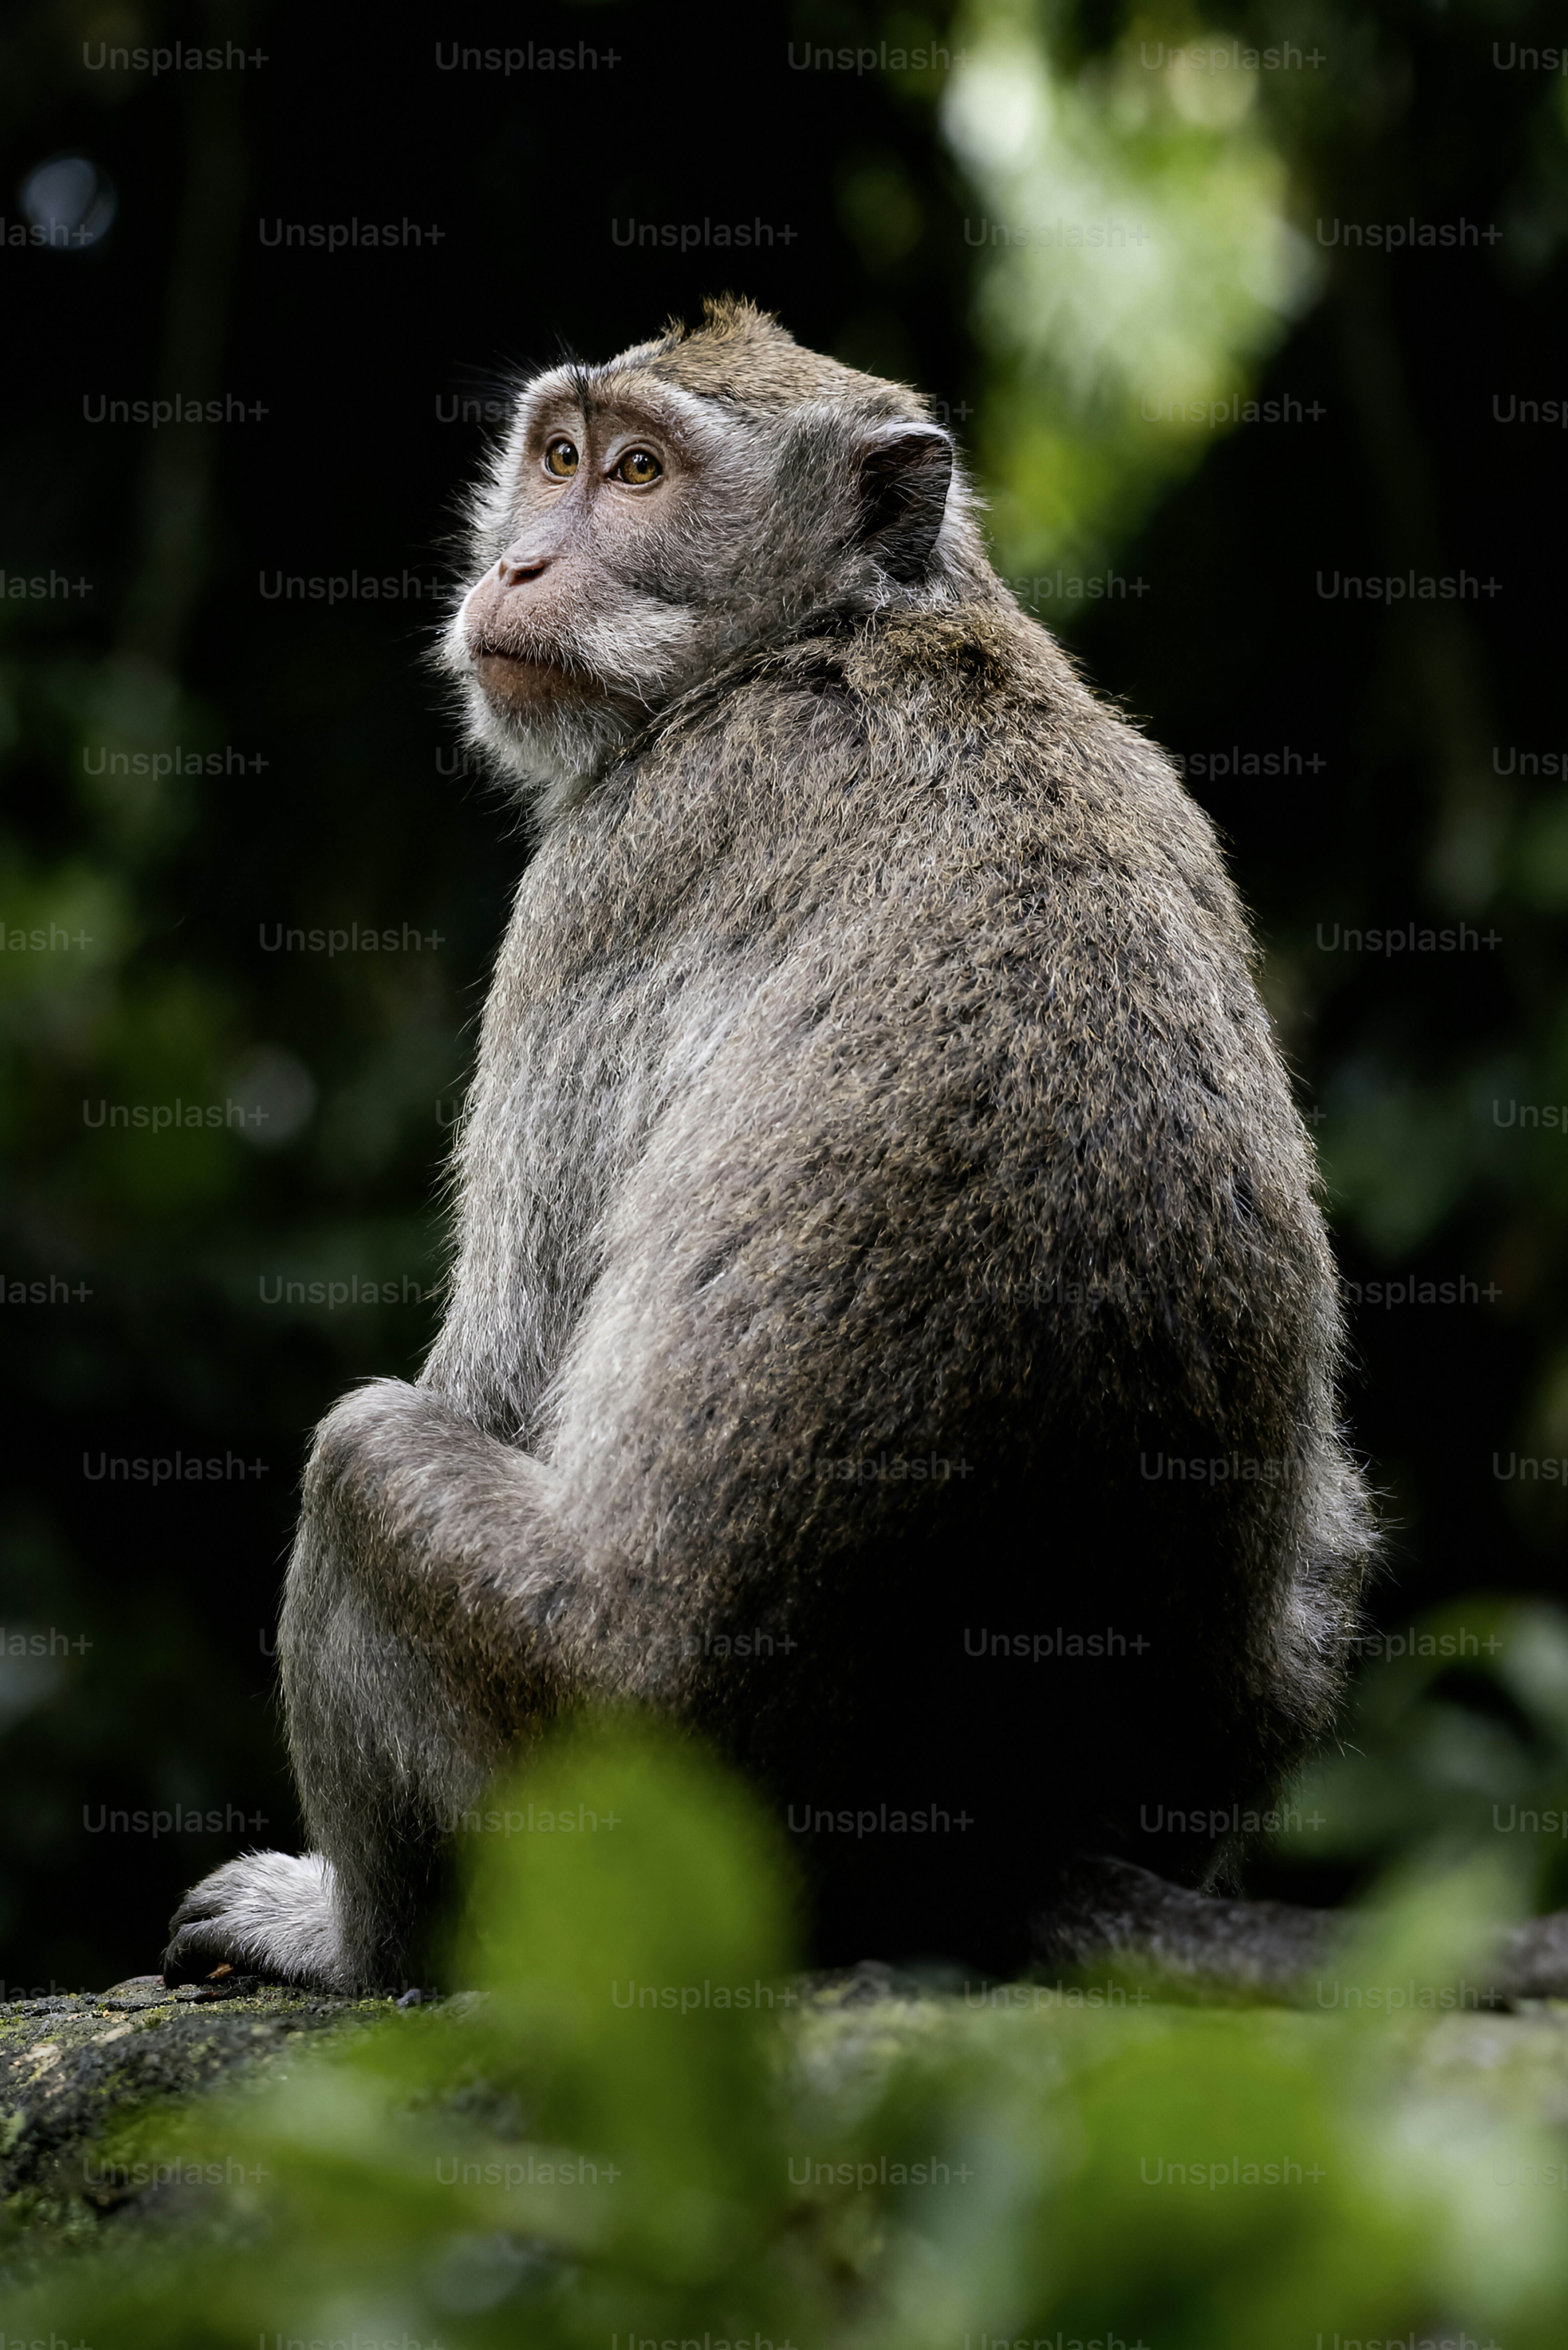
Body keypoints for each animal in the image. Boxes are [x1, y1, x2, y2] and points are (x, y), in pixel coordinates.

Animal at [163, 297, 1568, 2004]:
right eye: (554, 456)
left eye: (637, 473)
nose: (518, 567)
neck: (845, 631)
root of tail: (993, 1819)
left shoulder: (607, 871)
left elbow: (497, 1364)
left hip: (592, 1750)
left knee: (366, 1454)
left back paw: (355, 1936)